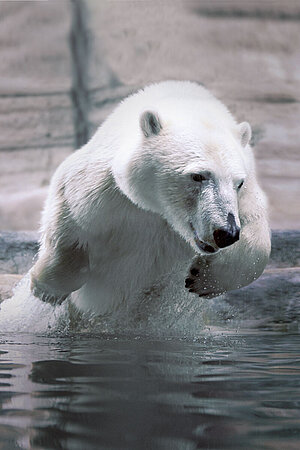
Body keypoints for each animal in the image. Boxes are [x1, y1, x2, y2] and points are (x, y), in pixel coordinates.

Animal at [31, 81, 272, 314]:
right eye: (197, 176)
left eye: (238, 183)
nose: (226, 233)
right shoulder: (107, 191)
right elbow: (71, 212)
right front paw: (47, 288)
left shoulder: (245, 196)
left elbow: (258, 239)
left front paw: (202, 279)